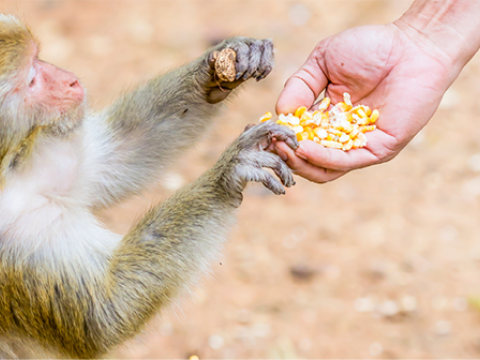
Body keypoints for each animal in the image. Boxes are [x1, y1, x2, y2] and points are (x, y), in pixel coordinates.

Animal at [0, 14, 300, 360]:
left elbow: (118, 154)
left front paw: (220, 65)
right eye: (31, 80)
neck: (10, 165)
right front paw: (227, 175)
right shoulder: (13, 236)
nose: (70, 81)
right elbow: (107, 313)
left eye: (37, 59)